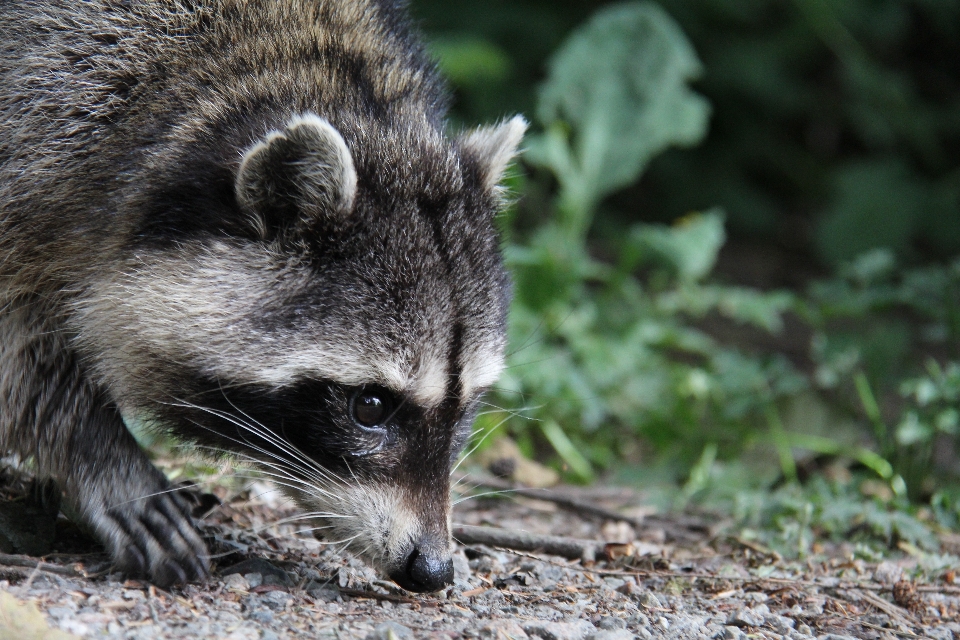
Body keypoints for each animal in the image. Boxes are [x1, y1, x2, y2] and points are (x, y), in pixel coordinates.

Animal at [0, 0, 524, 592]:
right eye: (369, 406)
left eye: (466, 405)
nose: (432, 569)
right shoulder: (41, 119)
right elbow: (22, 341)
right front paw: (99, 454)